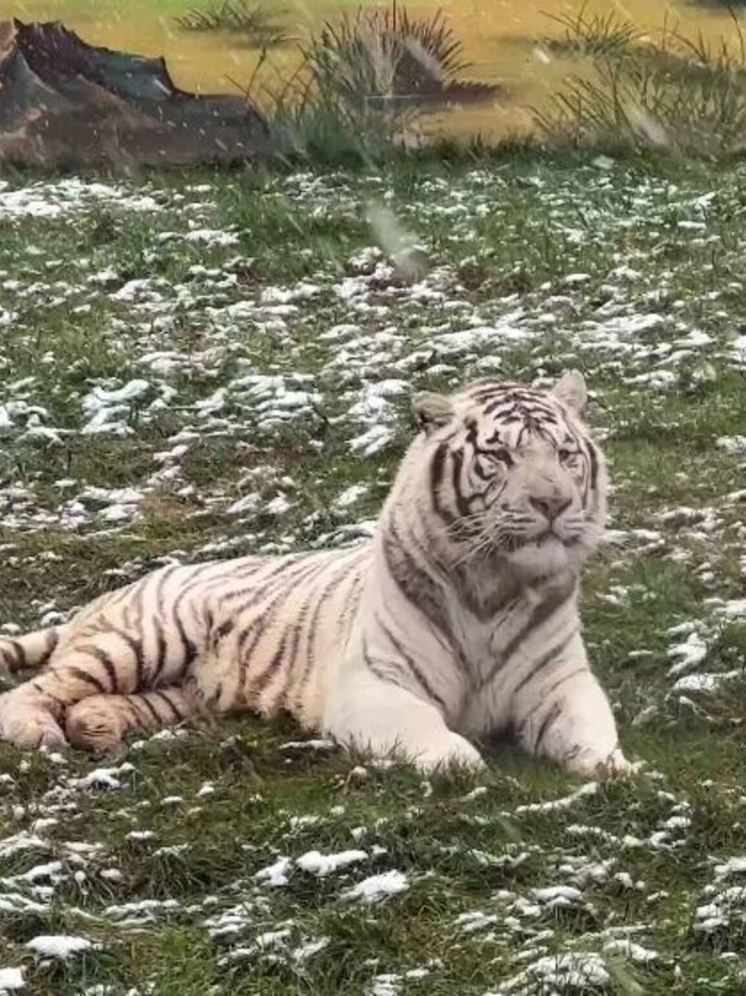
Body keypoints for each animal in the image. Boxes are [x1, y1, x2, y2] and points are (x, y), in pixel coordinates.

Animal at [0, 374, 628, 780]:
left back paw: (97, 727)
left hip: (183, 691)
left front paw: (615, 767)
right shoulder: (371, 685)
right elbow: (429, 731)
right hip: (145, 639)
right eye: (498, 458)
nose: (553, 502)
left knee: (97, 701)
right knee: (36, 688)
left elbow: (594, 729)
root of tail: (106, 596)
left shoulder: (560, 682)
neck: (495, 588)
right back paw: (37, 730)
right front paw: (467, 763)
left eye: (565, 454)